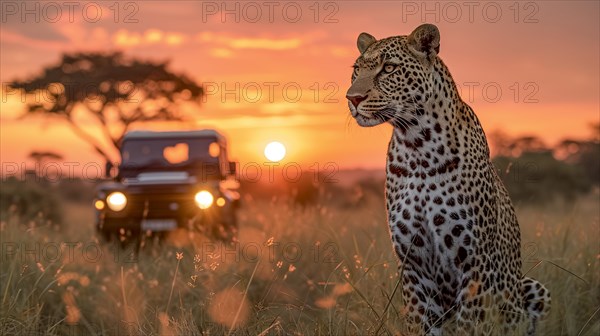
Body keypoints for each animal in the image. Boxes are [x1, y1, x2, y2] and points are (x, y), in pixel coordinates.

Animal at [346, 23, 548, 334]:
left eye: (389, 68)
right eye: (356, 70)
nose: (352, 98)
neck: (417, 146)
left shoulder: (475, 262)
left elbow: (469, 324)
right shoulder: (413, 264)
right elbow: (419, 323)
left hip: (533, 288)